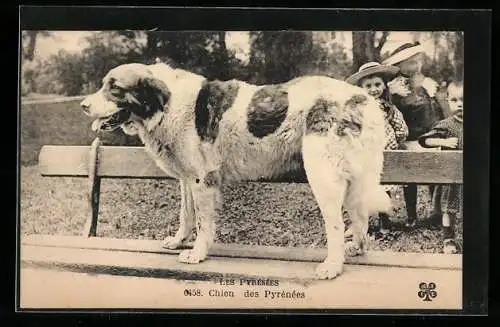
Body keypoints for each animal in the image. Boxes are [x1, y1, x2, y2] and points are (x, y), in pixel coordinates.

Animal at [80, 62, 390, 280]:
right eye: (104, 85)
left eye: (115, 88)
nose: (83, 106)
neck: (166, 105)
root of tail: (363, 99)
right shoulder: (187, 180)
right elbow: (186, 215)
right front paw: (179, 242)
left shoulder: (202, 180)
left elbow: (203, 222)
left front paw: (197, 254)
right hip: (354, 180)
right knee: (360, 217)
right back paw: (356, 248)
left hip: (323, 176)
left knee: (336, 225)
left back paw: (333, 266)